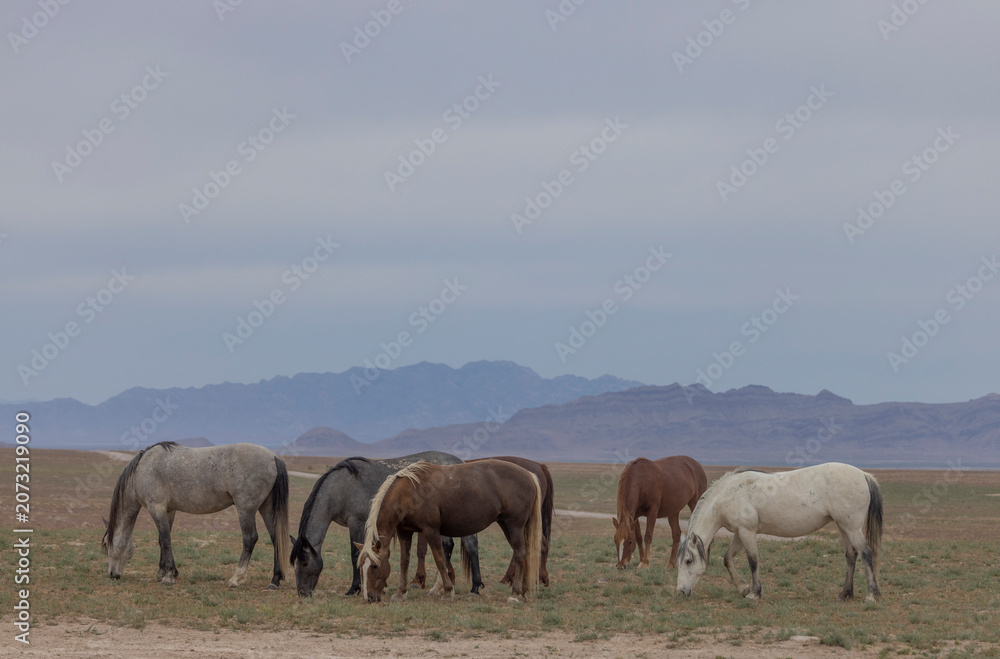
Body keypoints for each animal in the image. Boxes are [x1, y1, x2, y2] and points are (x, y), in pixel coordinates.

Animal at [102, 441, 292, 589]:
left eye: (105, 546)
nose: (112, 574)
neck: (143, 468)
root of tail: (274, 457)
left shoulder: (156, 507)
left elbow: (165, 540)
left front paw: (168, 577)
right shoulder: (169, 510)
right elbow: (163, 540)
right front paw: (163, 572)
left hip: (246, 509)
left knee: (250, 538)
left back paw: (236, 579)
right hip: (266, 507)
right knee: (276, 538)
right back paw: (274, 581)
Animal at [290, 451, 483, 597]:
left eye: (305, 562)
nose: (302, 593)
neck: (339, 488)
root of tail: (460, 462)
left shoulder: (356, 523)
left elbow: (355, 555)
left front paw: (354, 589)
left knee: (464, 546)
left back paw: (470, 587)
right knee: (456, 546)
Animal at [357, 460, 542, 603]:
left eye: (374, 566)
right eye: (361, 567)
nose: (369, 598)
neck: (409, 491)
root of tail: (529, 475)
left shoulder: (430, 531)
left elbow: (440, 560)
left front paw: (447, 592)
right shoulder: (405, 532)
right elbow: (404, 562)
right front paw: (399, 593)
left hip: (514, 525)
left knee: (520, 554)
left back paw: (516, 593)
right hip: (507, 525)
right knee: (524, 554)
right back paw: (523, 591)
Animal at [676, 463, 882, 601]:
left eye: (688, 561)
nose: (681, 591)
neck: (726, 495)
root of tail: (864, 475)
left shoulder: (747, 532)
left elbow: (753, 561)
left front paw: (754, 593)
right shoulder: (739, 533)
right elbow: (727, 558)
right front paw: (743, 588)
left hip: (851, 527)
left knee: (865, 553)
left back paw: (872, 594)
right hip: (843, 526)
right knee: (851, 556)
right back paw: (845, 593)